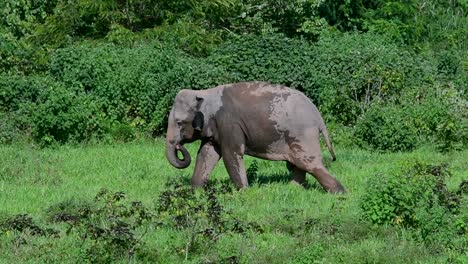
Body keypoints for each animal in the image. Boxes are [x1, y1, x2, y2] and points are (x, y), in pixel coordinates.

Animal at [166, 81, 346, 193]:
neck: (206, 93)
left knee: (309, 164)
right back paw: (293, 189)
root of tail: (318, 117)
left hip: (302, 135)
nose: (179, 146)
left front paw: (244, 192)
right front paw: (195, 191)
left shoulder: (229, 124)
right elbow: (206, 154)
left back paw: (340, 194)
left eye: (180, 123)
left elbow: (231, 154)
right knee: (298, 164)